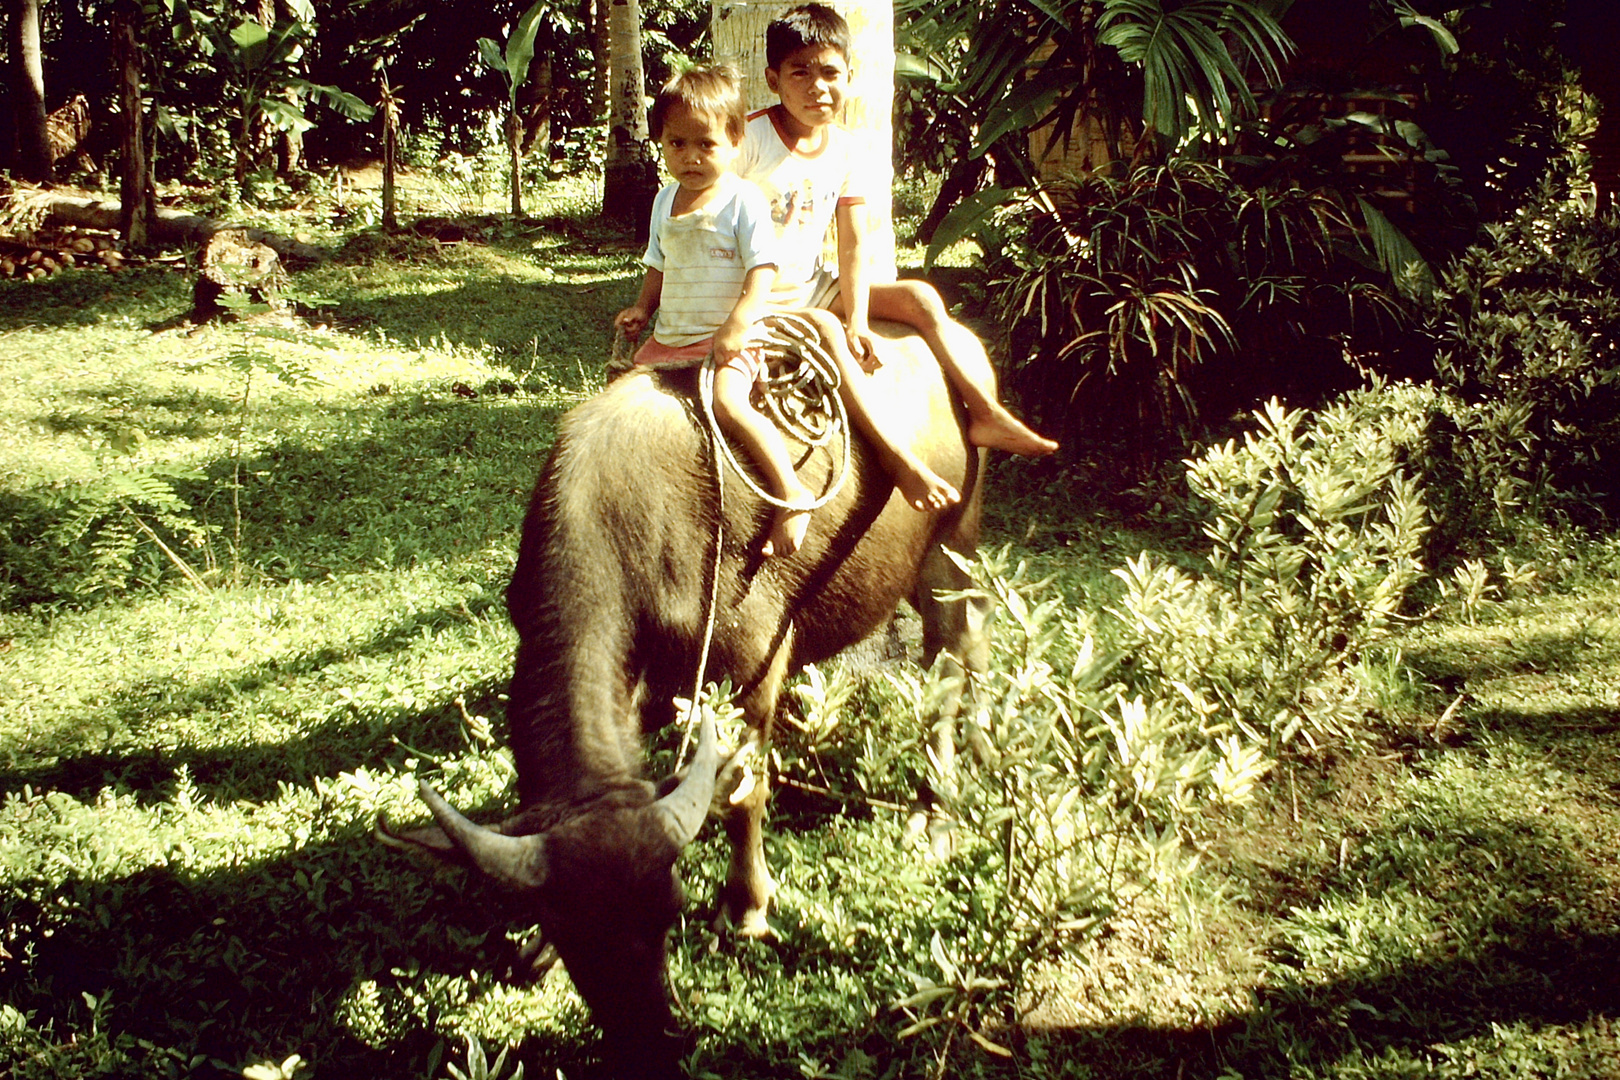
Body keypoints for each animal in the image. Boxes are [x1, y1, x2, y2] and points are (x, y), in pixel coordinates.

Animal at [382, 325, 984, 1075]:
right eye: (573, 934)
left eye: (670, 911)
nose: (656, 1043)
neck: (625, 528)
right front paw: (534, 955)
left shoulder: (757, 665)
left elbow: (744, 792)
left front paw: (747, 907)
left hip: (951, 548)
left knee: (949, 668)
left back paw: (937, 815)